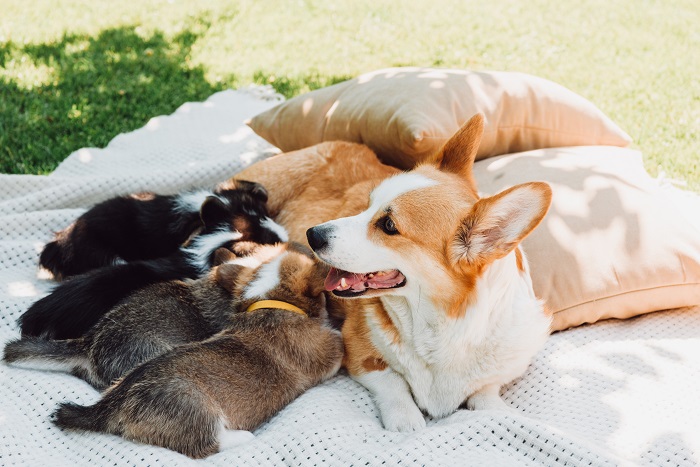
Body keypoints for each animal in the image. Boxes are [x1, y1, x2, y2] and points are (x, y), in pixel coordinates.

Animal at [49, 247, 344, 458]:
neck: (270, 303)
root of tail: (110, 406)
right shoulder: (327, 354)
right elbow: (338, 343)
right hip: (195, 407)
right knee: (204, 445)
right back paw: (240, 436)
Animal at [235, 113, 552, 432]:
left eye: (388, 225)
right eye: (367, 205)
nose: (312, 235)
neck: (443, 324)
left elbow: (486, 394)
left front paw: (504, 412)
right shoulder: (357, 350)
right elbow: (392, 382)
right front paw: (407, 422)